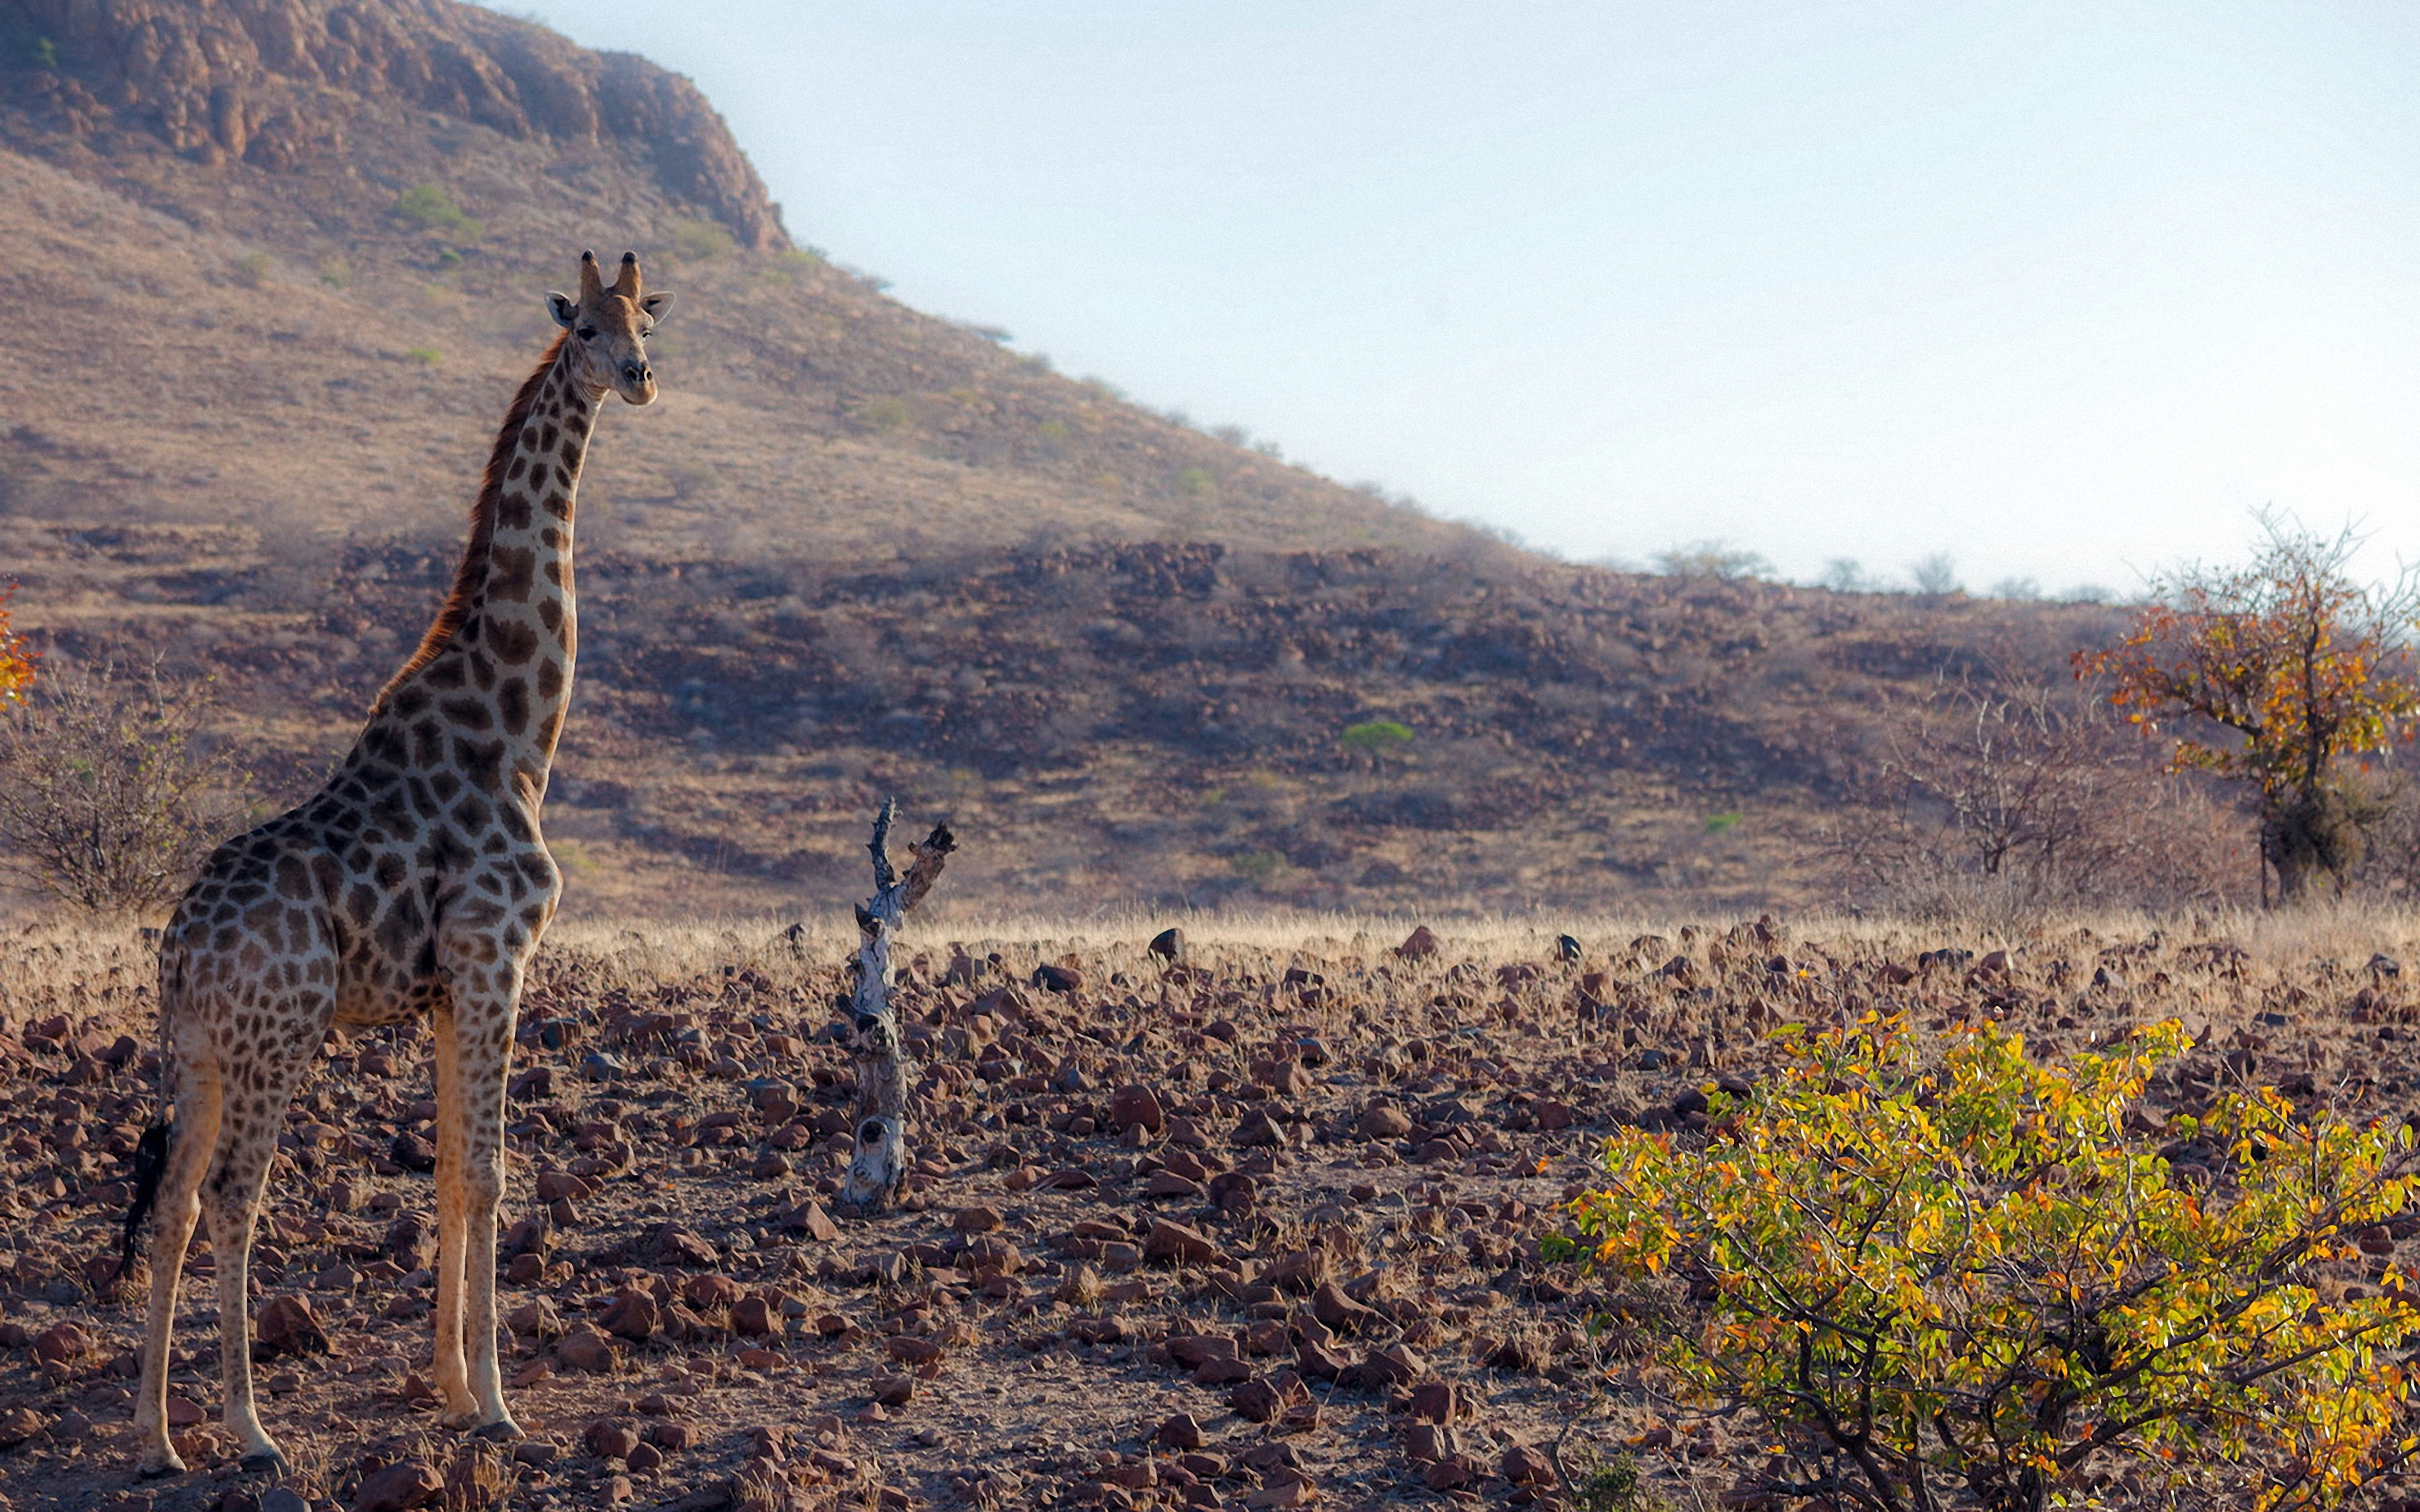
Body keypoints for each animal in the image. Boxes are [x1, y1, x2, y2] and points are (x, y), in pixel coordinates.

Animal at [123, 250, 672, 1470]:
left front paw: (450, 1388)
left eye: (647, 320)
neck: (520, 732)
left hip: (201, 1050)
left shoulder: (445, 989)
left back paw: (156, 1437)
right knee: (233, 1196)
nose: (641, 378)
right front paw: (501, 1406)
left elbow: (452, 1169)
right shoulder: (493, 956)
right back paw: (250, 1429)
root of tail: (179, 951)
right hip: (279, 1036)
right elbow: (492, 1171)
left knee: (175, 1200)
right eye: (584, 329)